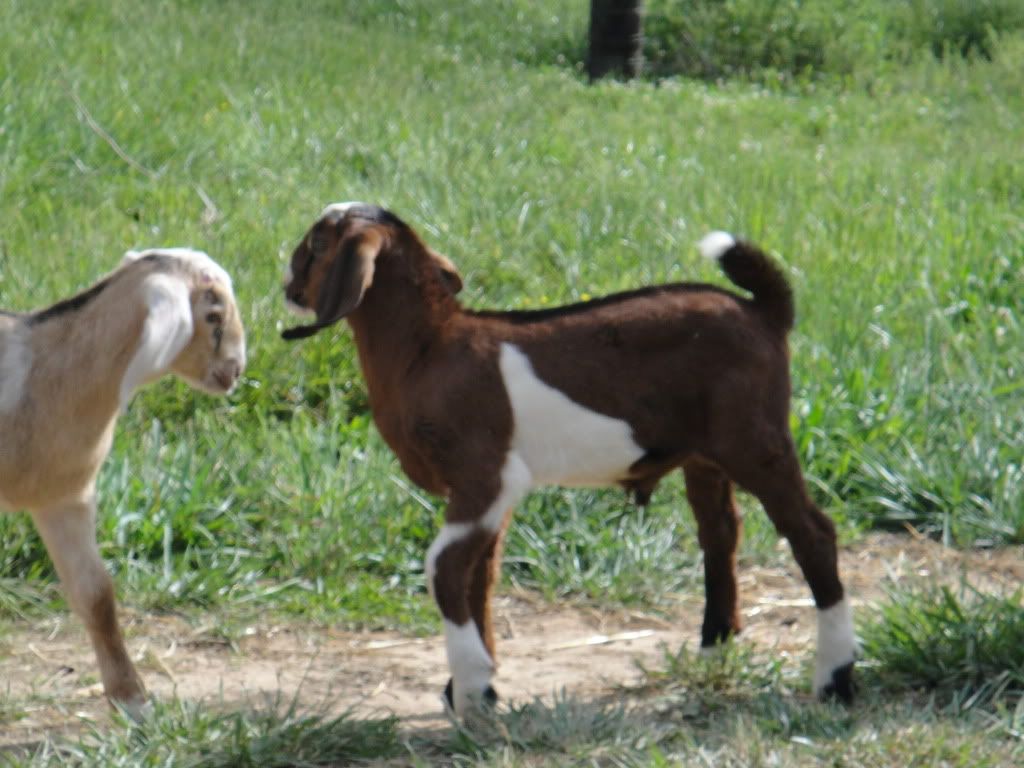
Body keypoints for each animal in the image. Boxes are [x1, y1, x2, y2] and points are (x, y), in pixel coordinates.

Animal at [281, 202, 856, 718]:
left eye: (314, 244)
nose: (285, 279)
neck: (428, 349)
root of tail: (764, 311)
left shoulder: (484, 477)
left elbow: (444, 569)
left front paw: (470, 687)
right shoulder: (491, 497)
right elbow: (480, 575)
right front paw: (480, 689)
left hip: (756, 441)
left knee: (813, 534)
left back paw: (835, 680)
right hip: (707, 455)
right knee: (720, 534)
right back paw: (716, 649)